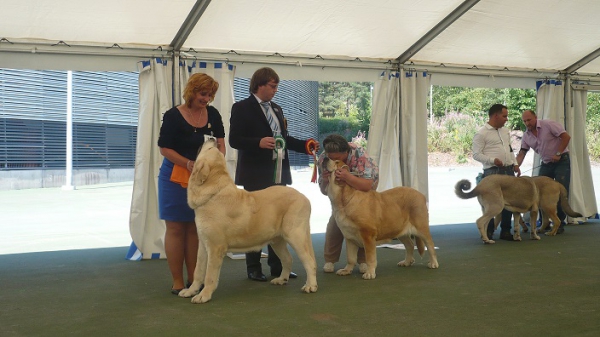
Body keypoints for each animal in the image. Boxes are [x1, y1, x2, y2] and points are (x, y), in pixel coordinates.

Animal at [178, 139, 318, 302]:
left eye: (210, 148)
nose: (213, 139)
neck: (213, 193)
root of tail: (304, 197)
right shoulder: (203, 245)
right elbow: (198, 271)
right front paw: (191, 291)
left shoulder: (215, 247)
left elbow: (209, 275)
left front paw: (204, 295)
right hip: (277, 240)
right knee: (288, 259)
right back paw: (281, 279)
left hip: (295, 235)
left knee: (309, 261)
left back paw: (310, 286)